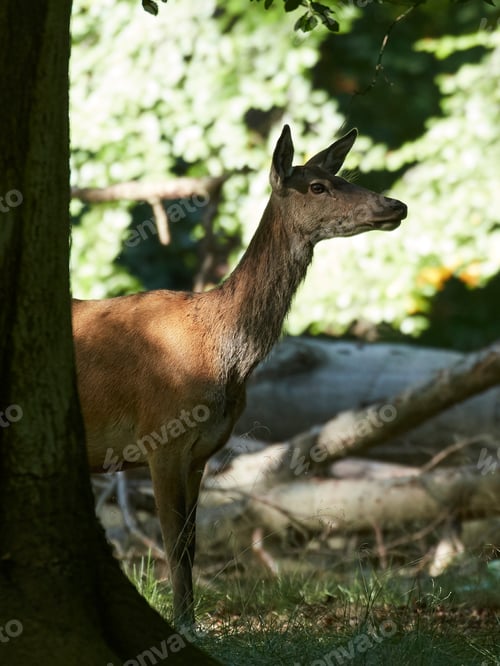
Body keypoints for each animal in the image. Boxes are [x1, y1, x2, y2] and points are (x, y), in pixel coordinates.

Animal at [72, 125, 407, 628]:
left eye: (343, 176)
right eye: (318, 186)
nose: (395, 205)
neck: (221, 355)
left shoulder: (201, 451)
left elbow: (191, 545)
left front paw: (191, 621)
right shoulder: (159, 437)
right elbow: (173, 544)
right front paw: (184, 627)